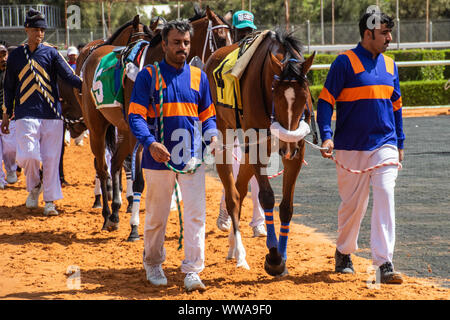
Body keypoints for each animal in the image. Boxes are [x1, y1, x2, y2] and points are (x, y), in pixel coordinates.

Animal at [205, 29, 314, 276]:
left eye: (305, 97)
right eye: (277, 96)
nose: (287, 148)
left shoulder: (297, 149)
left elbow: (286, 206)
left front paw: (282, 257)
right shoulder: (256, 147)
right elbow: (266, 197)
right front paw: (273, 258)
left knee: (240, 188)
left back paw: (232, 248)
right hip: (224, 132)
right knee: (233, 195)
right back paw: (240, 255)